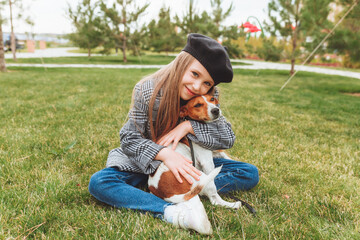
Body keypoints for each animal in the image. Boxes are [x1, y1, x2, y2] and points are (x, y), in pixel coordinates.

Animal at [148, 95, 240, 232]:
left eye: (212, 99)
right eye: (197, 105)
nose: (216, 110)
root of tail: (159, 190)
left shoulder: (214, 152)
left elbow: (224, 154)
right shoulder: (206, 161)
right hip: (202, 177)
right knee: (214, 199)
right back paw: (233, 205)